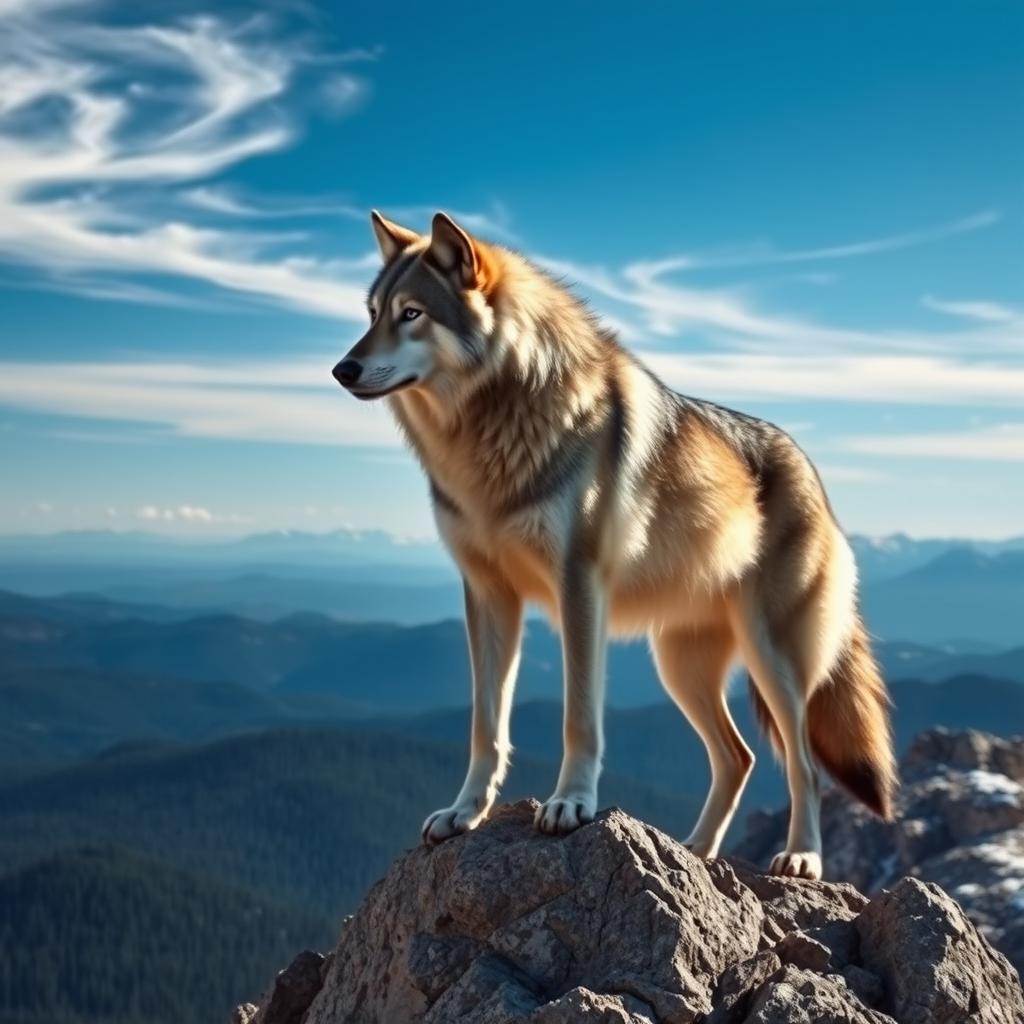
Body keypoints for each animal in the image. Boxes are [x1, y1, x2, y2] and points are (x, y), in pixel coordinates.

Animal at [332, 210, 896, 879]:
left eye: (412, 313)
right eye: (372, 314)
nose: (342, 369)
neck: (489, 429)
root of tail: (815, 476)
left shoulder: (579, 587)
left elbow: (579, 718)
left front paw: (571, 804)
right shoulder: (487, 593)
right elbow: (485, 724)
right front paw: (465, 813)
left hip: (770, 658)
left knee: (802, 763)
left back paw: (801, 857)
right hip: (679, 666)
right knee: (740, 758)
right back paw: (694, 852)